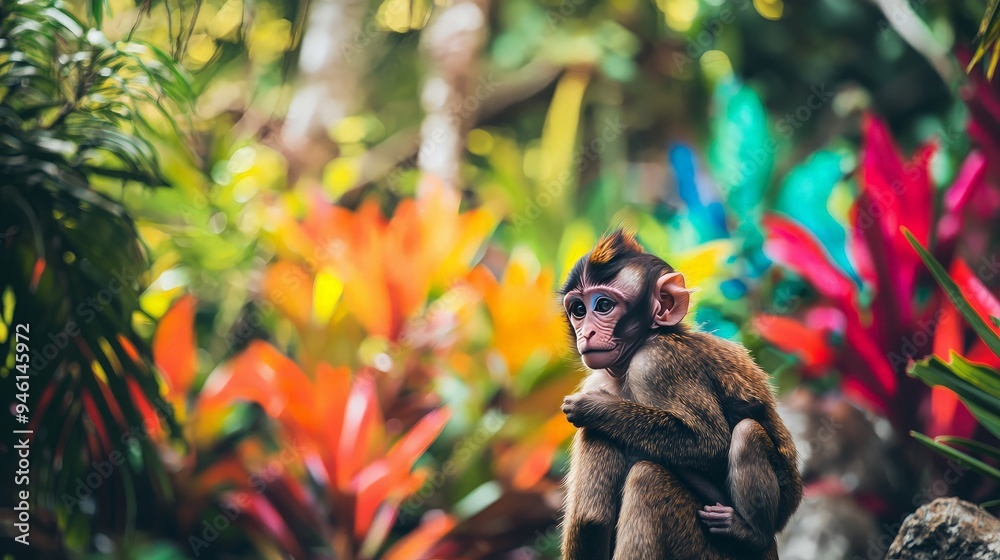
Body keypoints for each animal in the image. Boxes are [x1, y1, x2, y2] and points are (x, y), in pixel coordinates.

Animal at [558, 229, 802, 560]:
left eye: (604, 305)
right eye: (579, 311)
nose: (587, 333)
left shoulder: (656, 362)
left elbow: (710, 442)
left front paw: (597, 409)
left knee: (739, 436)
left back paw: (752, 533)